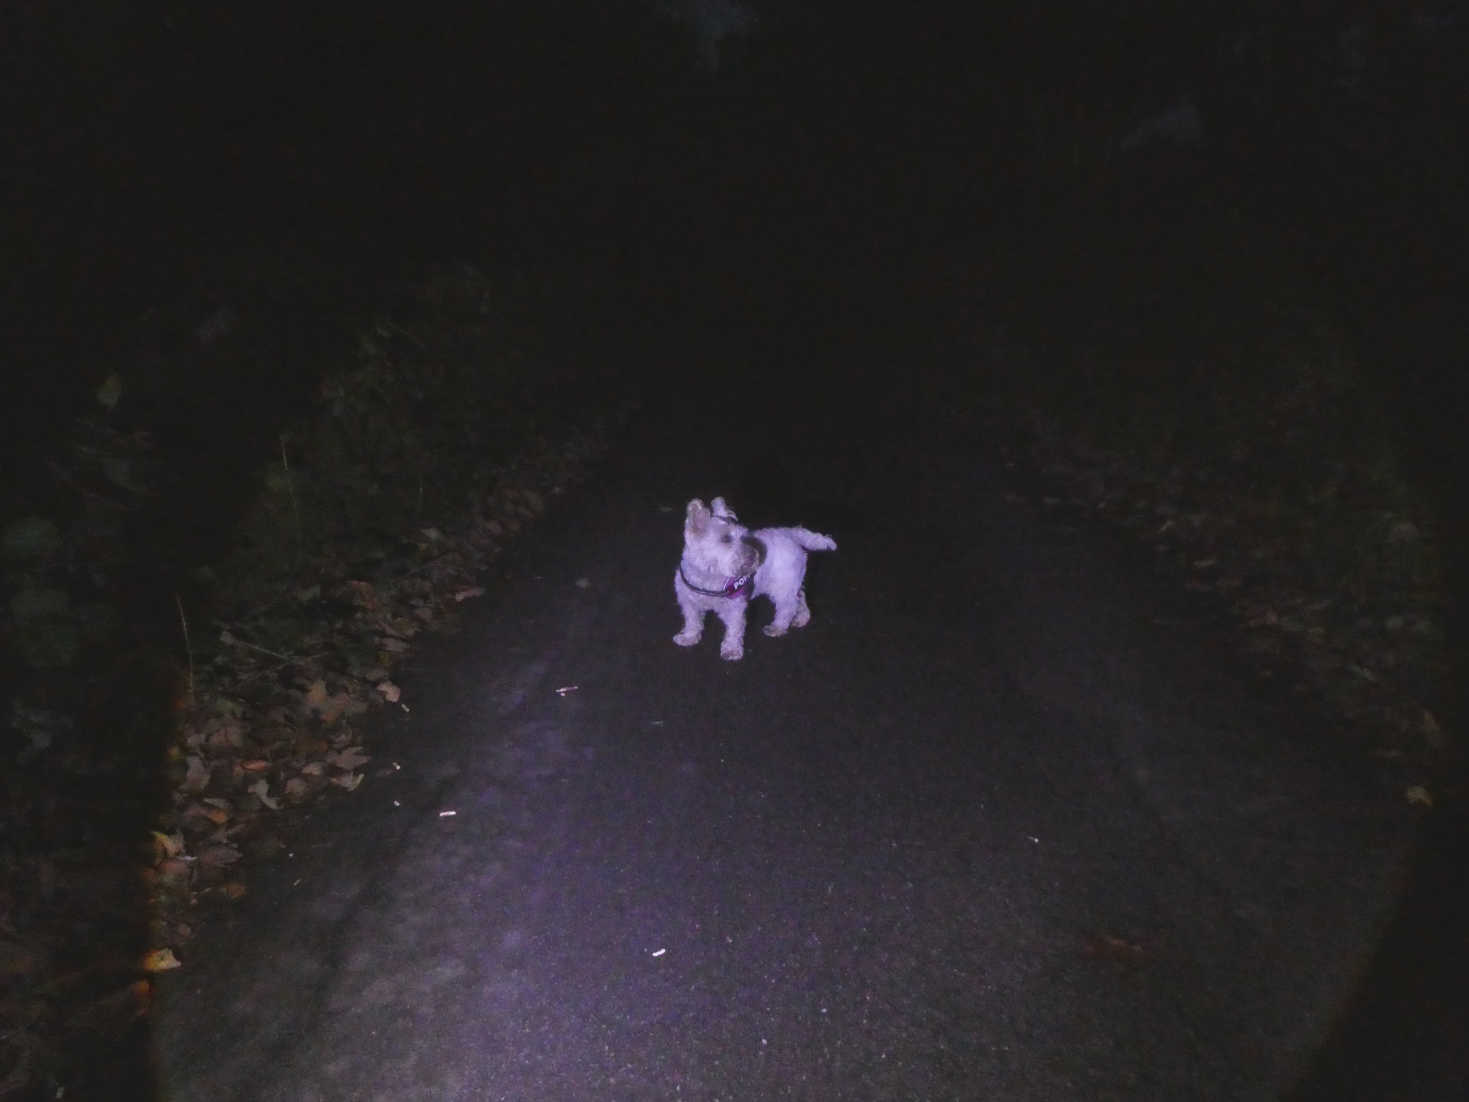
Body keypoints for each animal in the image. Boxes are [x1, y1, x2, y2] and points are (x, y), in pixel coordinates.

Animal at [672, 499, 840, 664]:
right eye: (725, 539)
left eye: (743, 537)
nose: (754, 556)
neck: (708, 576)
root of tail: (792, 535)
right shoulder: (689, 603)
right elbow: (692, 621)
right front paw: (689, 637)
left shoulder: (735, 607)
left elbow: (734, 629)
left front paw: (731, 649)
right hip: (791, 585)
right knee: (800, 597)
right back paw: (802, 618)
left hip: (782, 589)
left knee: (787, 608)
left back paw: (777, 627)